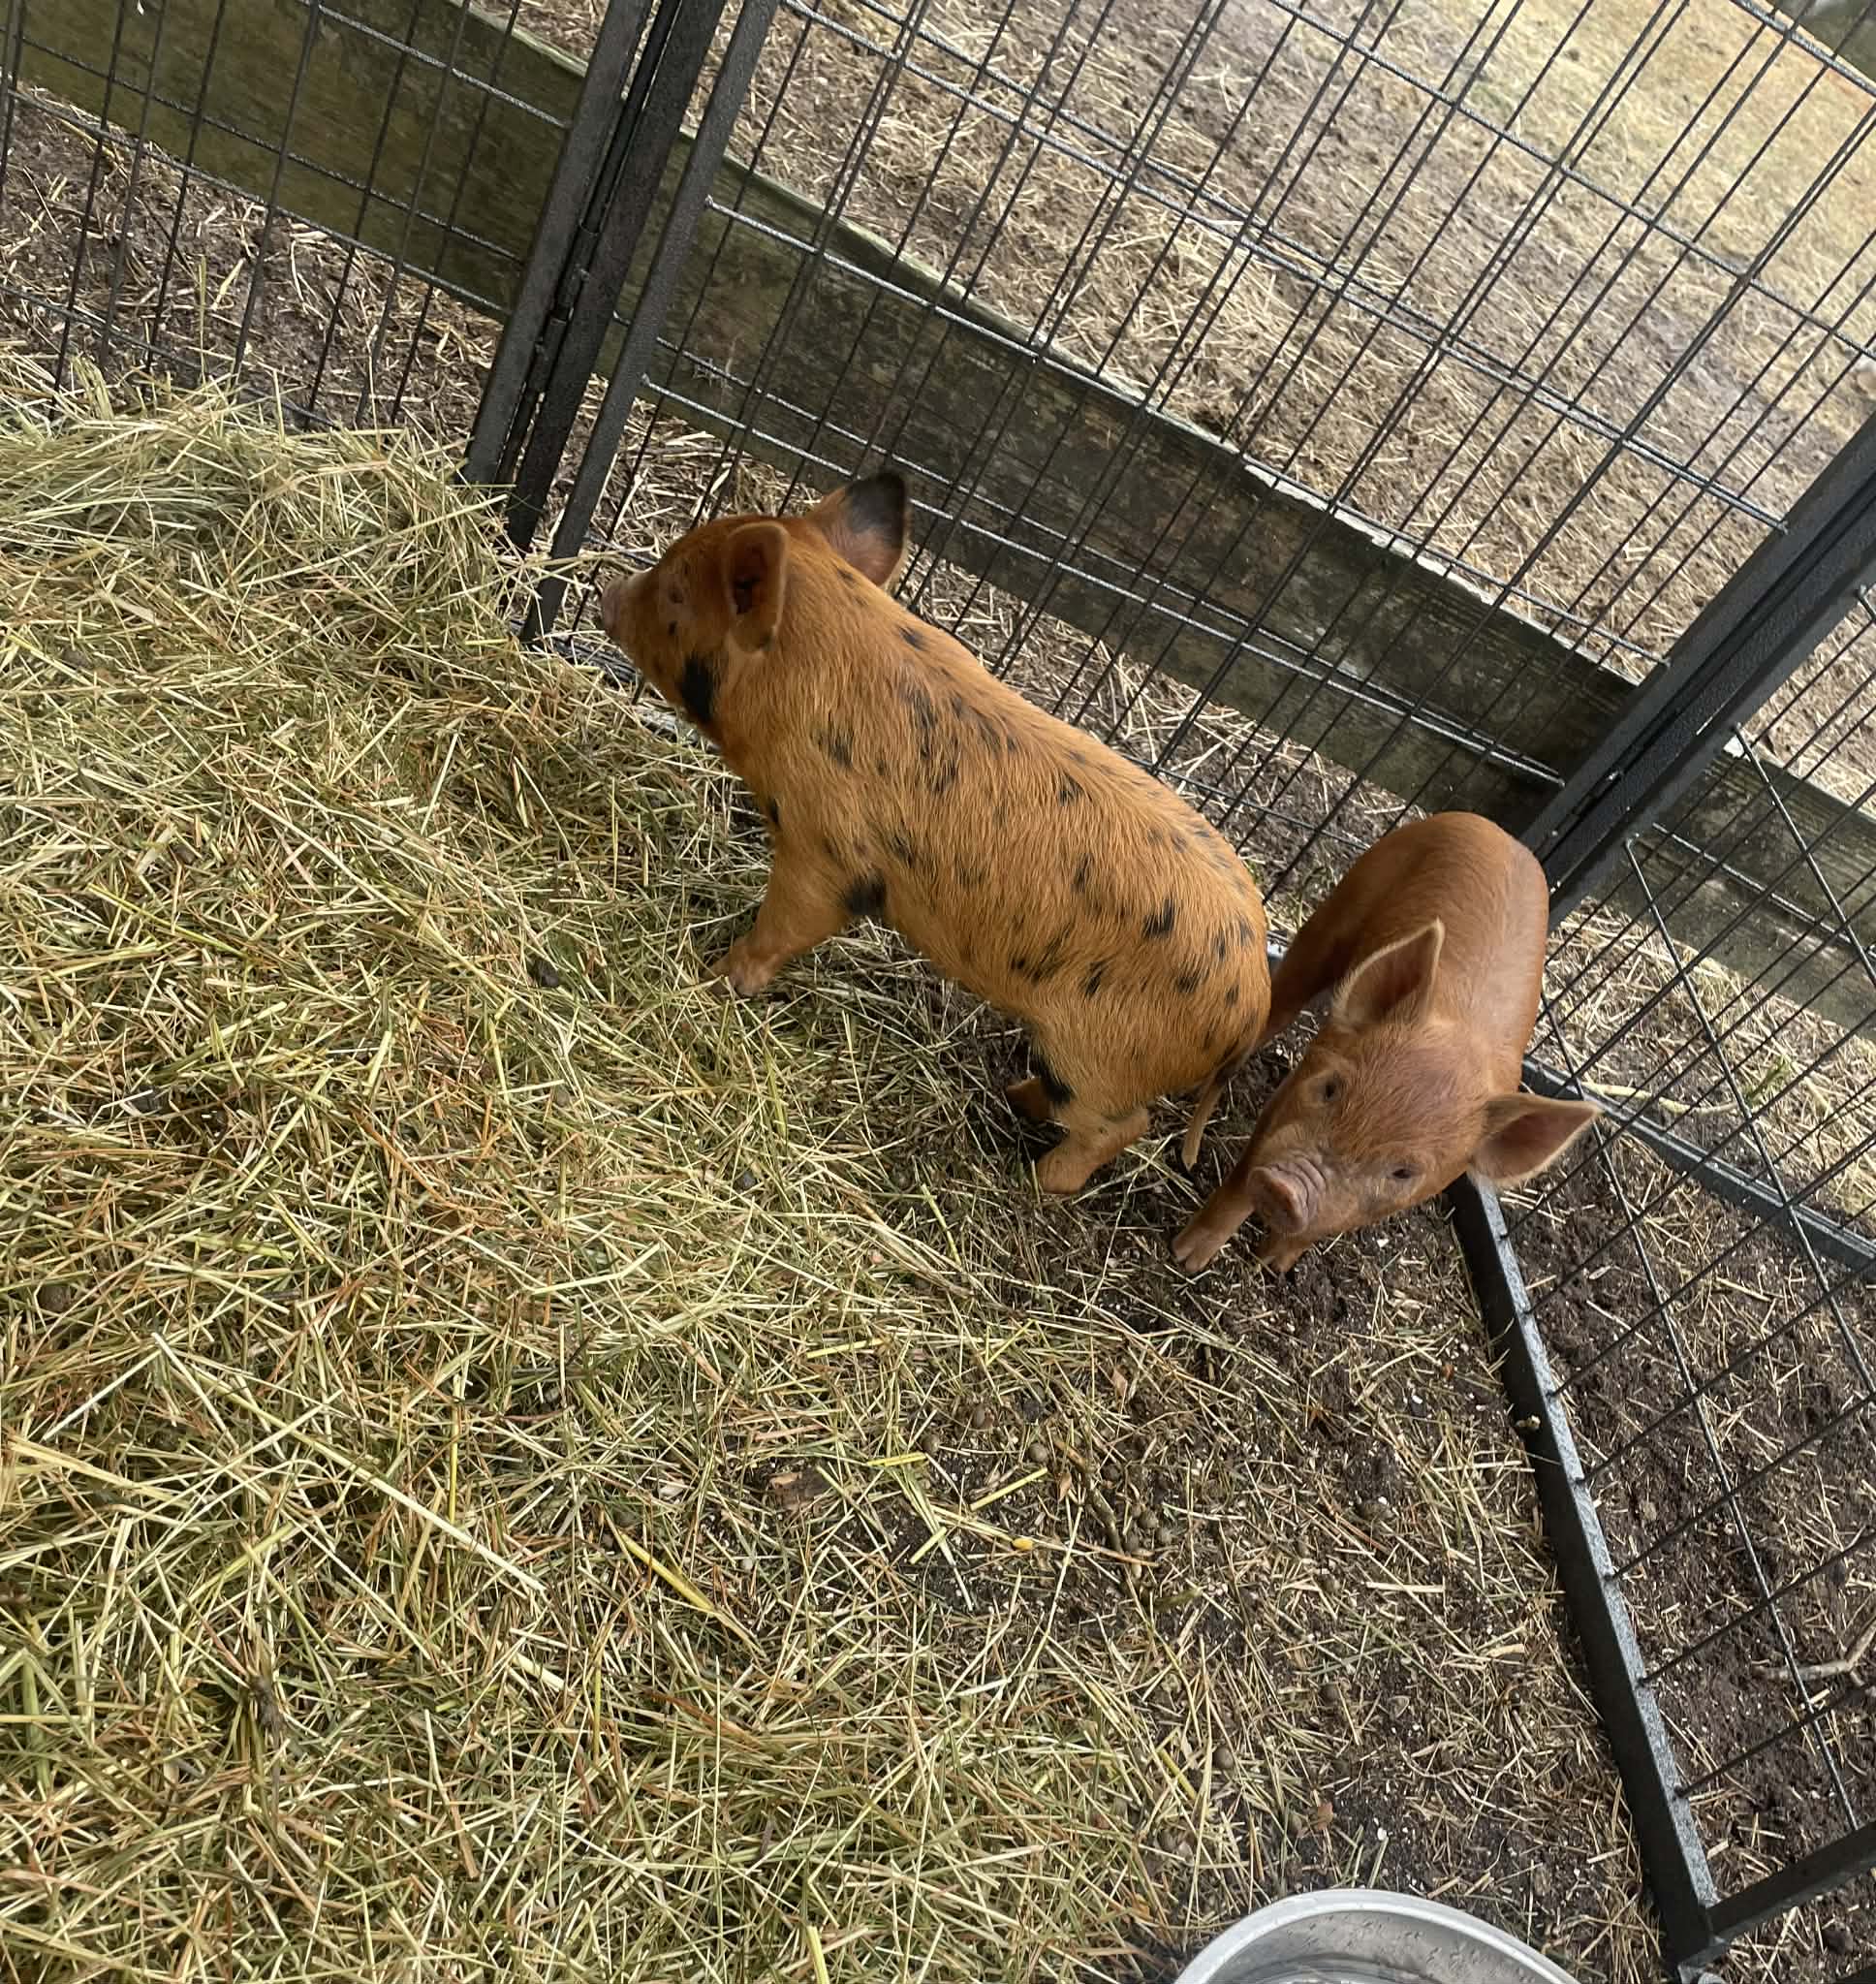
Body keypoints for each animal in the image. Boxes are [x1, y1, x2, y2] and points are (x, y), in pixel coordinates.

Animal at [597, 469, 1271, 1194]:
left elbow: (784, 926)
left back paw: (1037, 1177)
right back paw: (1012, 1096)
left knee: (1124, 1125)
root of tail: (1254, 1005)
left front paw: (716, 976)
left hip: (1098, 1058)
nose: (606, 594)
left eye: (675, 590)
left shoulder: (828, 852)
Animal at [1170, 812, 1599, 1272]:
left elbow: (1321, 1227)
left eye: (1403, 1172)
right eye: (1330, 1089)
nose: (1287, 1189)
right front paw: (1187, 1259)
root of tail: (1508, 837)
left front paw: (1275, 1266)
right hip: (1337, 914)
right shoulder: (1293, 1093)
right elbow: (1242, 1176)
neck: (1462, 1042)